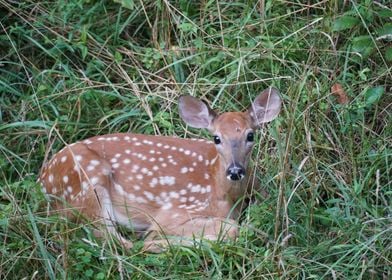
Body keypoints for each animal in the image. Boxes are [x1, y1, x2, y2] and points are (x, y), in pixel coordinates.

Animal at [37, 87, 282, 252]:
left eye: (250, 135)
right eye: (216, 138)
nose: (235, 170)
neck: (222, 191)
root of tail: (42, 181)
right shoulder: (173, 211)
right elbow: (232, 227)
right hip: (88, 182)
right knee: (118, 242)